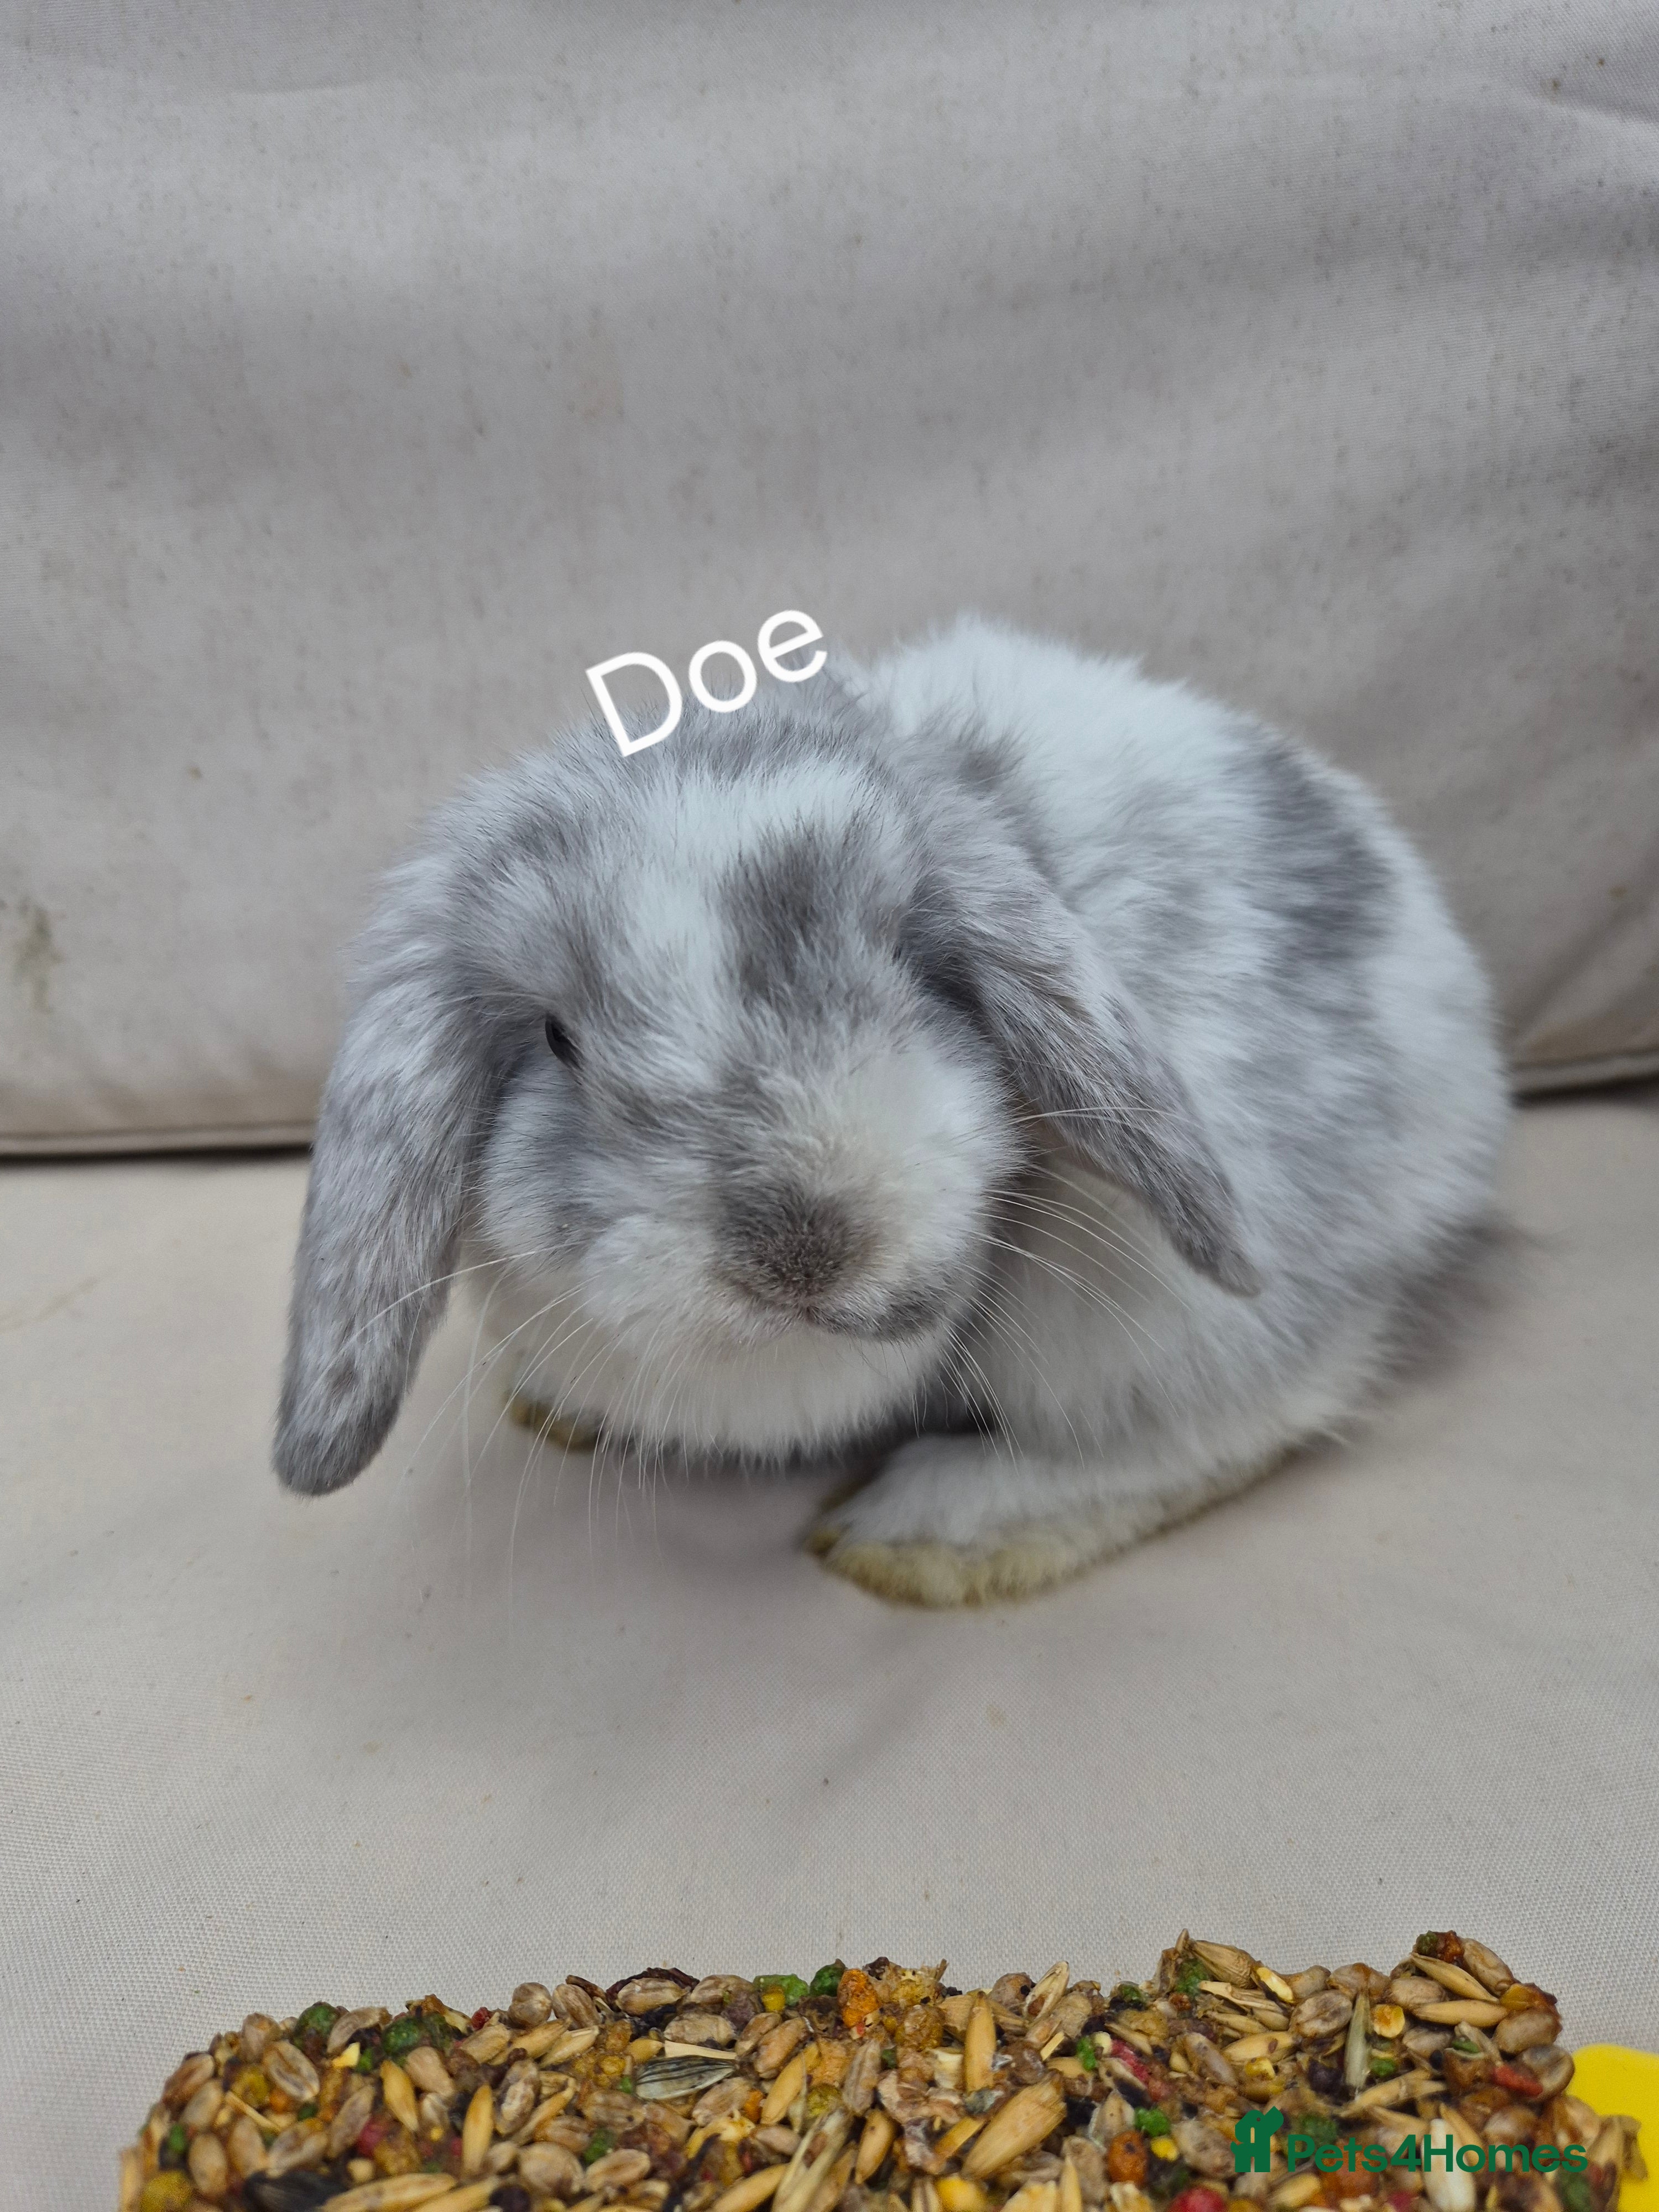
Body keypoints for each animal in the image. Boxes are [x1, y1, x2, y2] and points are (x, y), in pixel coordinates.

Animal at [275, 614, 1509, 1604]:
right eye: (555, 1040)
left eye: (920, 968)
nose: (807, 1249)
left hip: (1151, 1304)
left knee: (1250, 1414)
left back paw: (923, 1532)